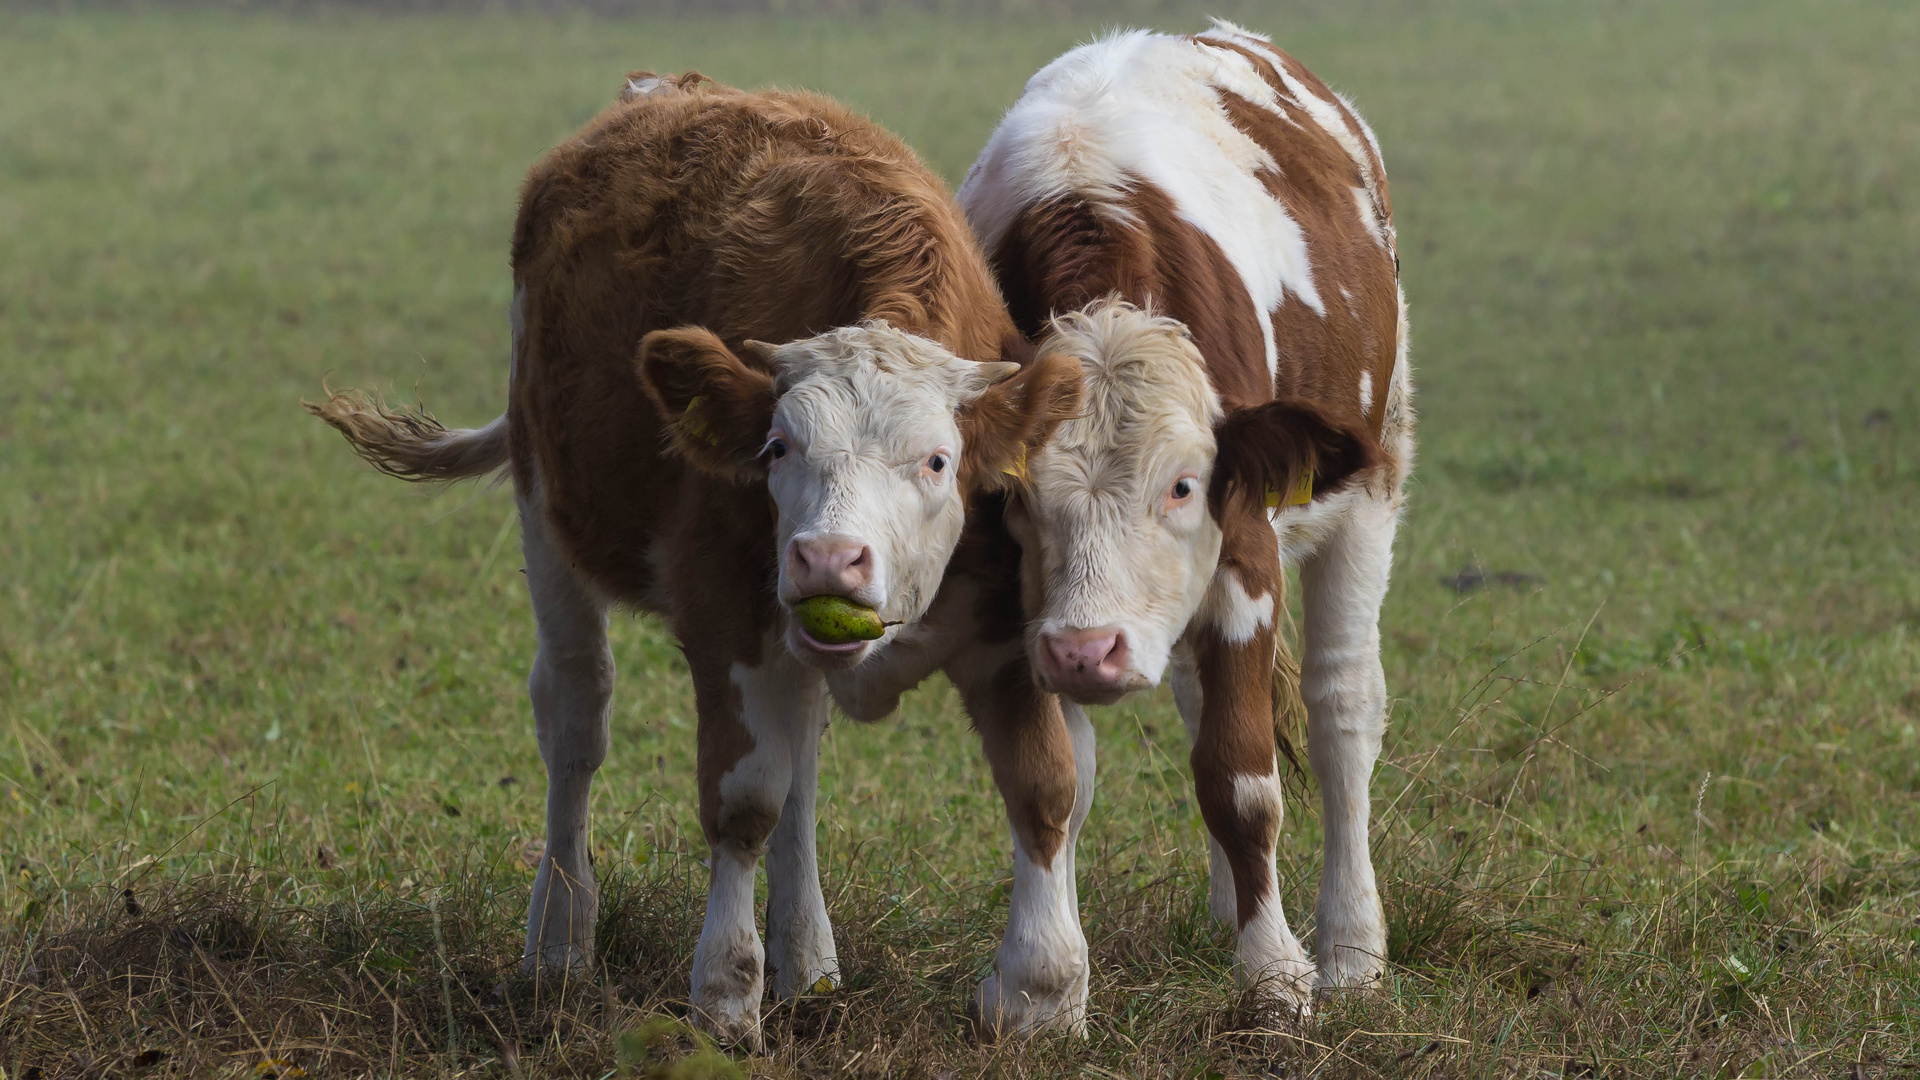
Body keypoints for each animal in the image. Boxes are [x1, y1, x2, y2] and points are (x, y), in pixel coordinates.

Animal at [305, 73, 1082, 1045]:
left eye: (938, 461)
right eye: (778, 448)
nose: (828, 560)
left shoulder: (1004, 617)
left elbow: (1043, 785)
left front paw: (1043, 995)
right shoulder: (722, 611)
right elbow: (743, 801)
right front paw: (724, 993)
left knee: (801, 754)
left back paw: (811, 963)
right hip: (546, 508)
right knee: (576, 716)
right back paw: (559, 938)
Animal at [956, 21, 1413, 1022]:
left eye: (1184, 486)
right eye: (1016, 496)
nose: (1087, 652)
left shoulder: (1246, 554)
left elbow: (1241, 780)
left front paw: (1276, 975)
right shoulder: (1022, 606)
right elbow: (1055, 775)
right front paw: (1042, 985)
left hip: (1375, 476)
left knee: (1341, 708)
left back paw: (1351, 947)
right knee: (1206, 702)